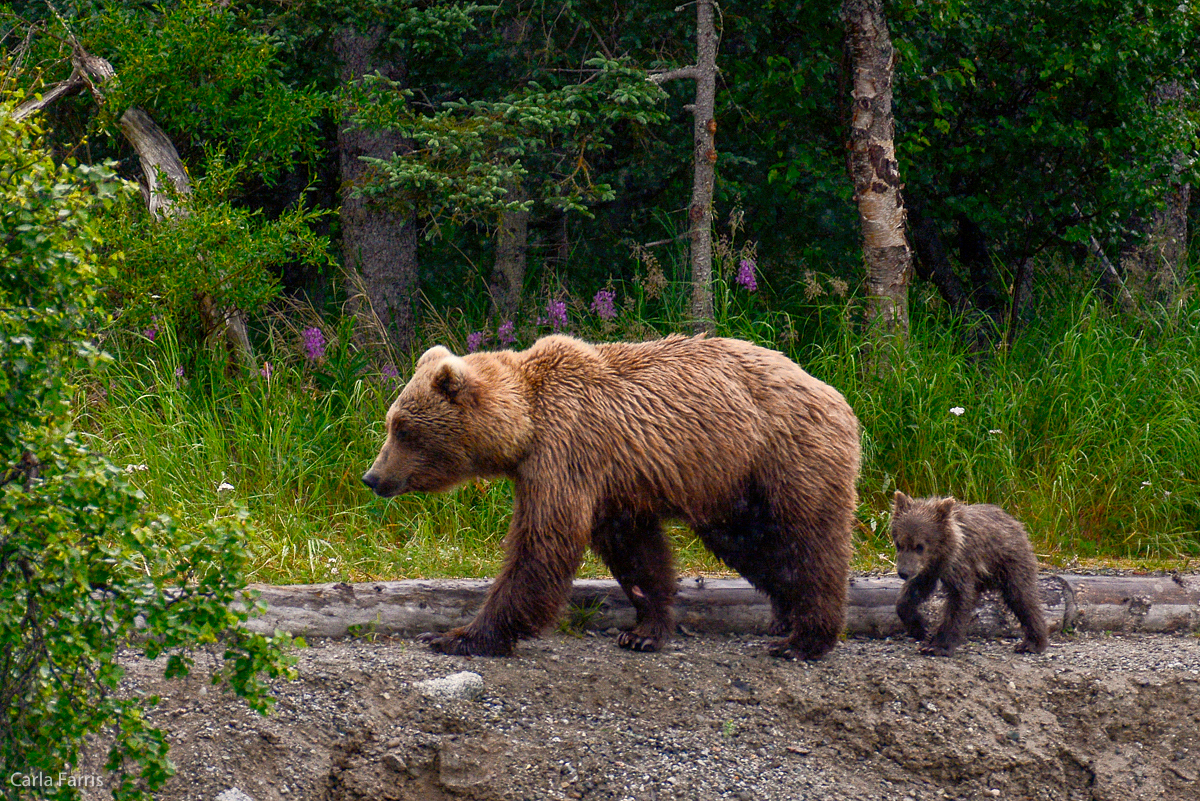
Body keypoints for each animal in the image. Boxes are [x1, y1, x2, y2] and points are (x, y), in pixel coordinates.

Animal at [364, 335, 864, 661]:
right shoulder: (615, 484)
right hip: (735, 484)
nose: (373, 476)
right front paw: (645, 630)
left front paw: (459, 635)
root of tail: (836, 394)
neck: (524, 427)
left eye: (403, 429)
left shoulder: (567, 453)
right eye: (392, 422)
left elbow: (542, 546)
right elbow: (636, 554)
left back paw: (805, 639)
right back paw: (785, 615)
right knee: (754, 546)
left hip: (787, 456)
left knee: (809, 542)